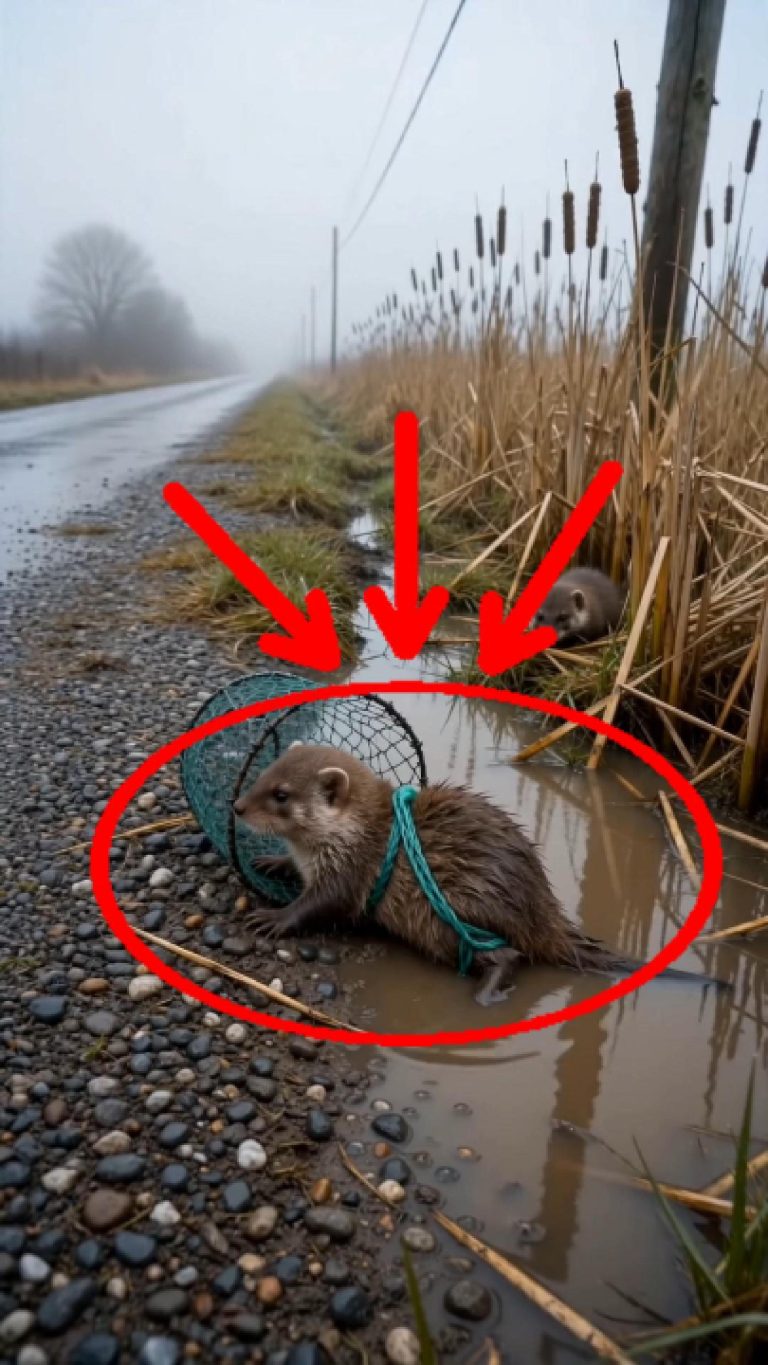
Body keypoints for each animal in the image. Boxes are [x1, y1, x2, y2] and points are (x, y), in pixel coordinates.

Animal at [232, 743, 723, 1005]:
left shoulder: (350, 873)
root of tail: (542, 913)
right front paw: (274, 861)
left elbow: (318, 905)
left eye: (281, 795)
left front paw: (274, 918)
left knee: (508, 955)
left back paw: (488, 995)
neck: (349, 835)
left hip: (450, 919)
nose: (236, 807)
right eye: (264, 773)